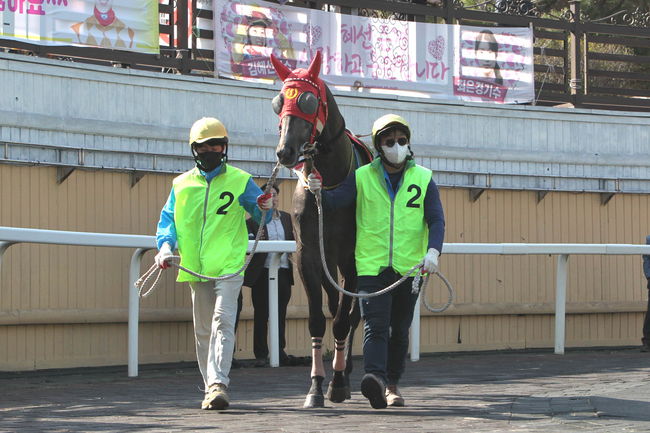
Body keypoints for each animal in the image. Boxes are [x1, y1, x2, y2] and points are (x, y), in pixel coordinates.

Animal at [268, 52, 370, 406]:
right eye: (278, 102)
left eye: (309, 101)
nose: (284, 151)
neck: (328, 186)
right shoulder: (308, 253)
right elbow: (316, 320)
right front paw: (315, 385)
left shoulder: (353, 257)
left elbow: (342, 320)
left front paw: (336, 383)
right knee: (334, 302)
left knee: (351, 314)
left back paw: (347, 373)